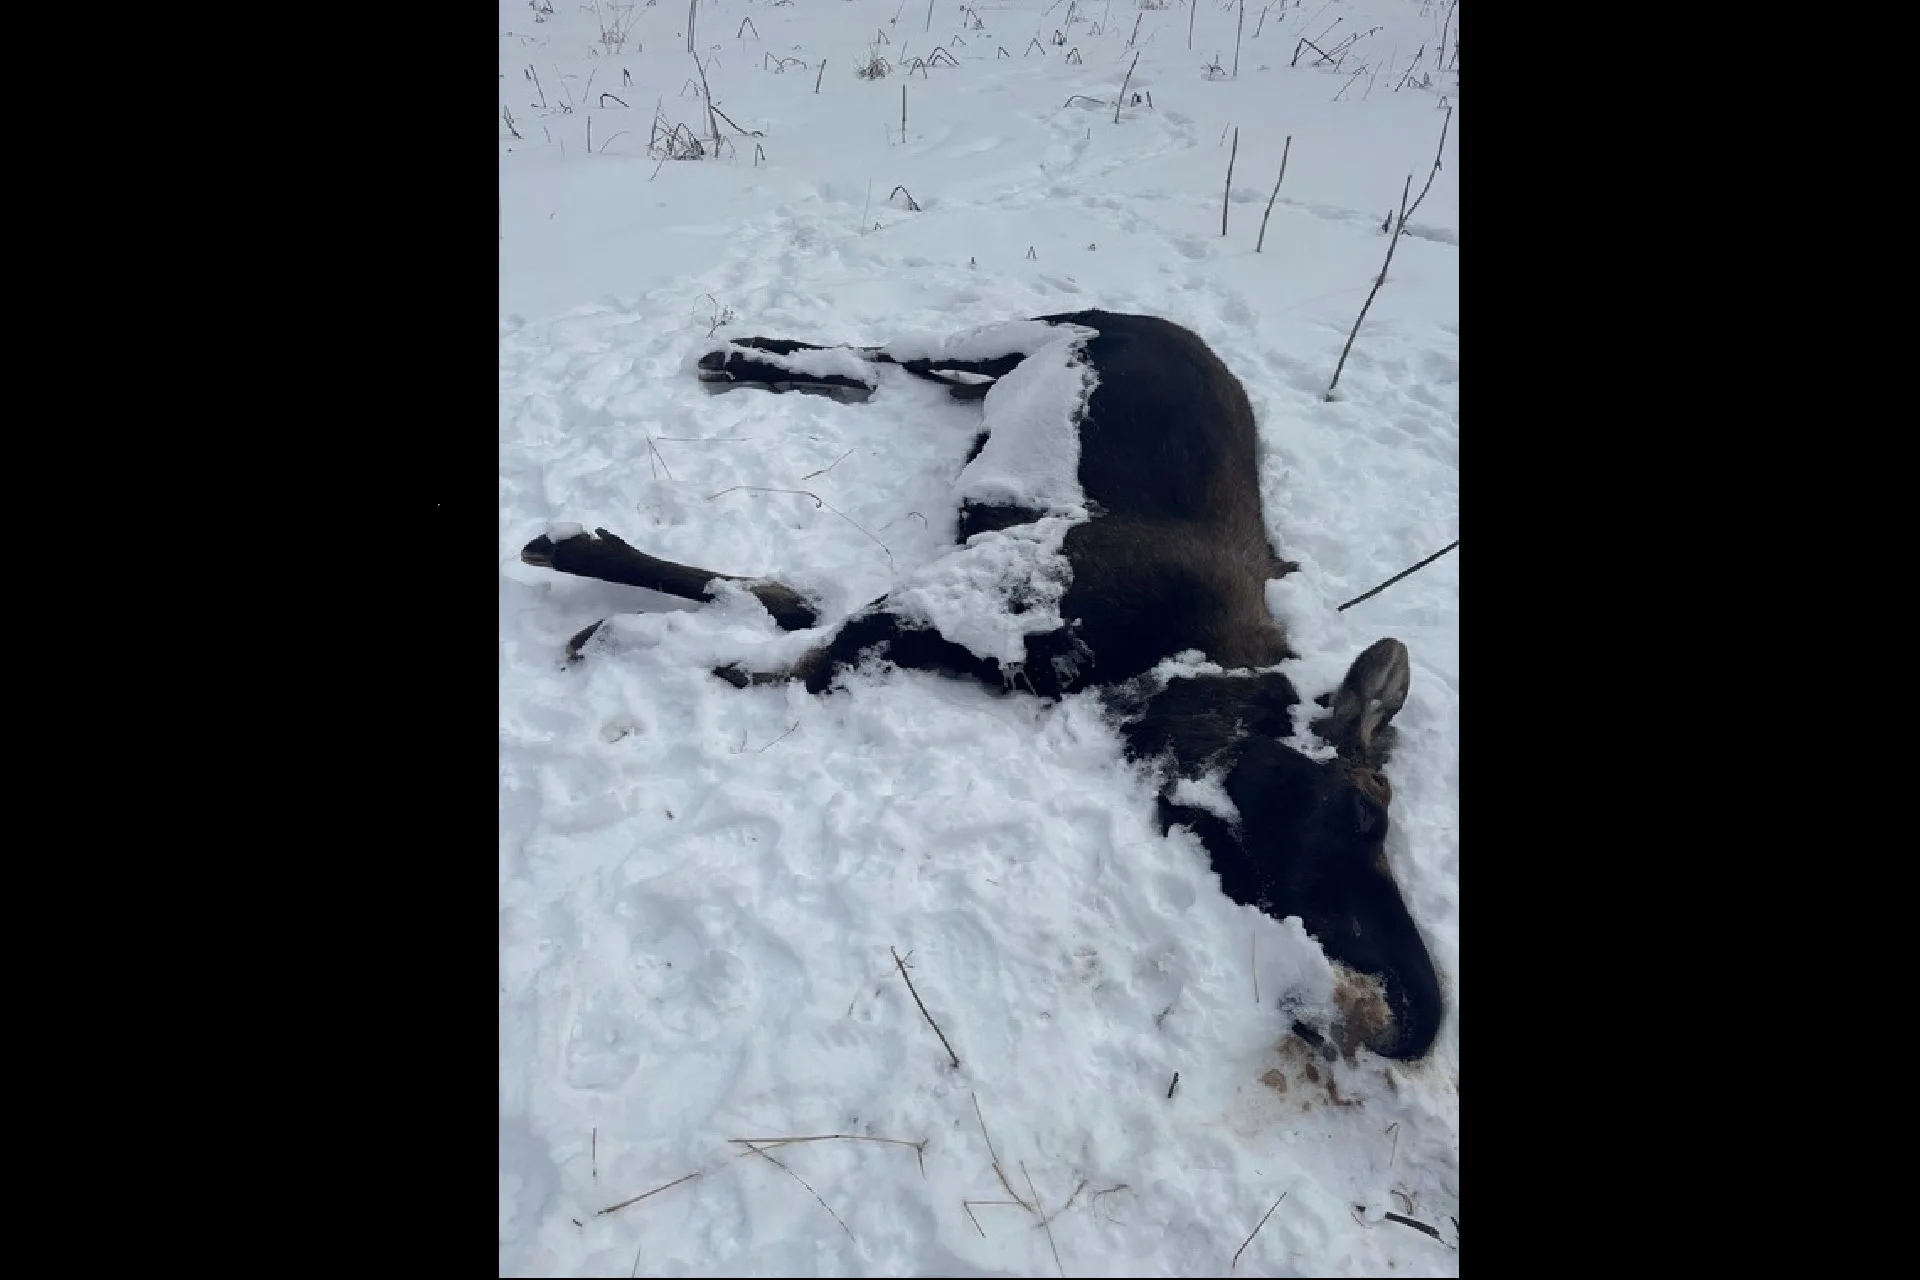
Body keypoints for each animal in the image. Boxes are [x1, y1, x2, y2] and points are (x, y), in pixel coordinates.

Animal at [518, 310, 1444, 1062]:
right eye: (1365, 812)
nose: (1419, 1015)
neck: (1163, 659)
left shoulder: (925, 617)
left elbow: (781, 617)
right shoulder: (953, 592)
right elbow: (769, 639)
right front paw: (590, 579)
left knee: (882, 371)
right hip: (1008, 336)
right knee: (883, 349)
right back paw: (745, 352)